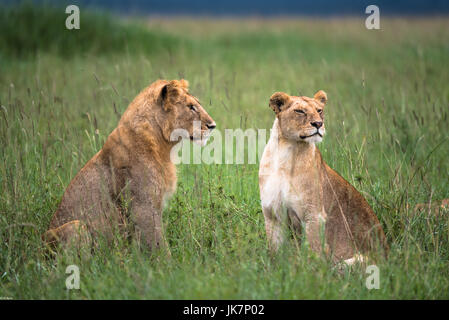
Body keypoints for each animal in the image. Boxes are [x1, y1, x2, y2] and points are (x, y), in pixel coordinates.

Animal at [43, 79, 215, 251]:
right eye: (191, 107)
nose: (213, 126)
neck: (162, 146)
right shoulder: (143, 206)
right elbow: (158, 244)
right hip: (75, 225)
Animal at [260, 90, 388, 264]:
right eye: (300, 111)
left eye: (319, 110)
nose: (318, 124)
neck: (285, 152)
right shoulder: (272, 213)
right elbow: (276, 251)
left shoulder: (314, 214)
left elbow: (313, 250)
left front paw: (312, 269)